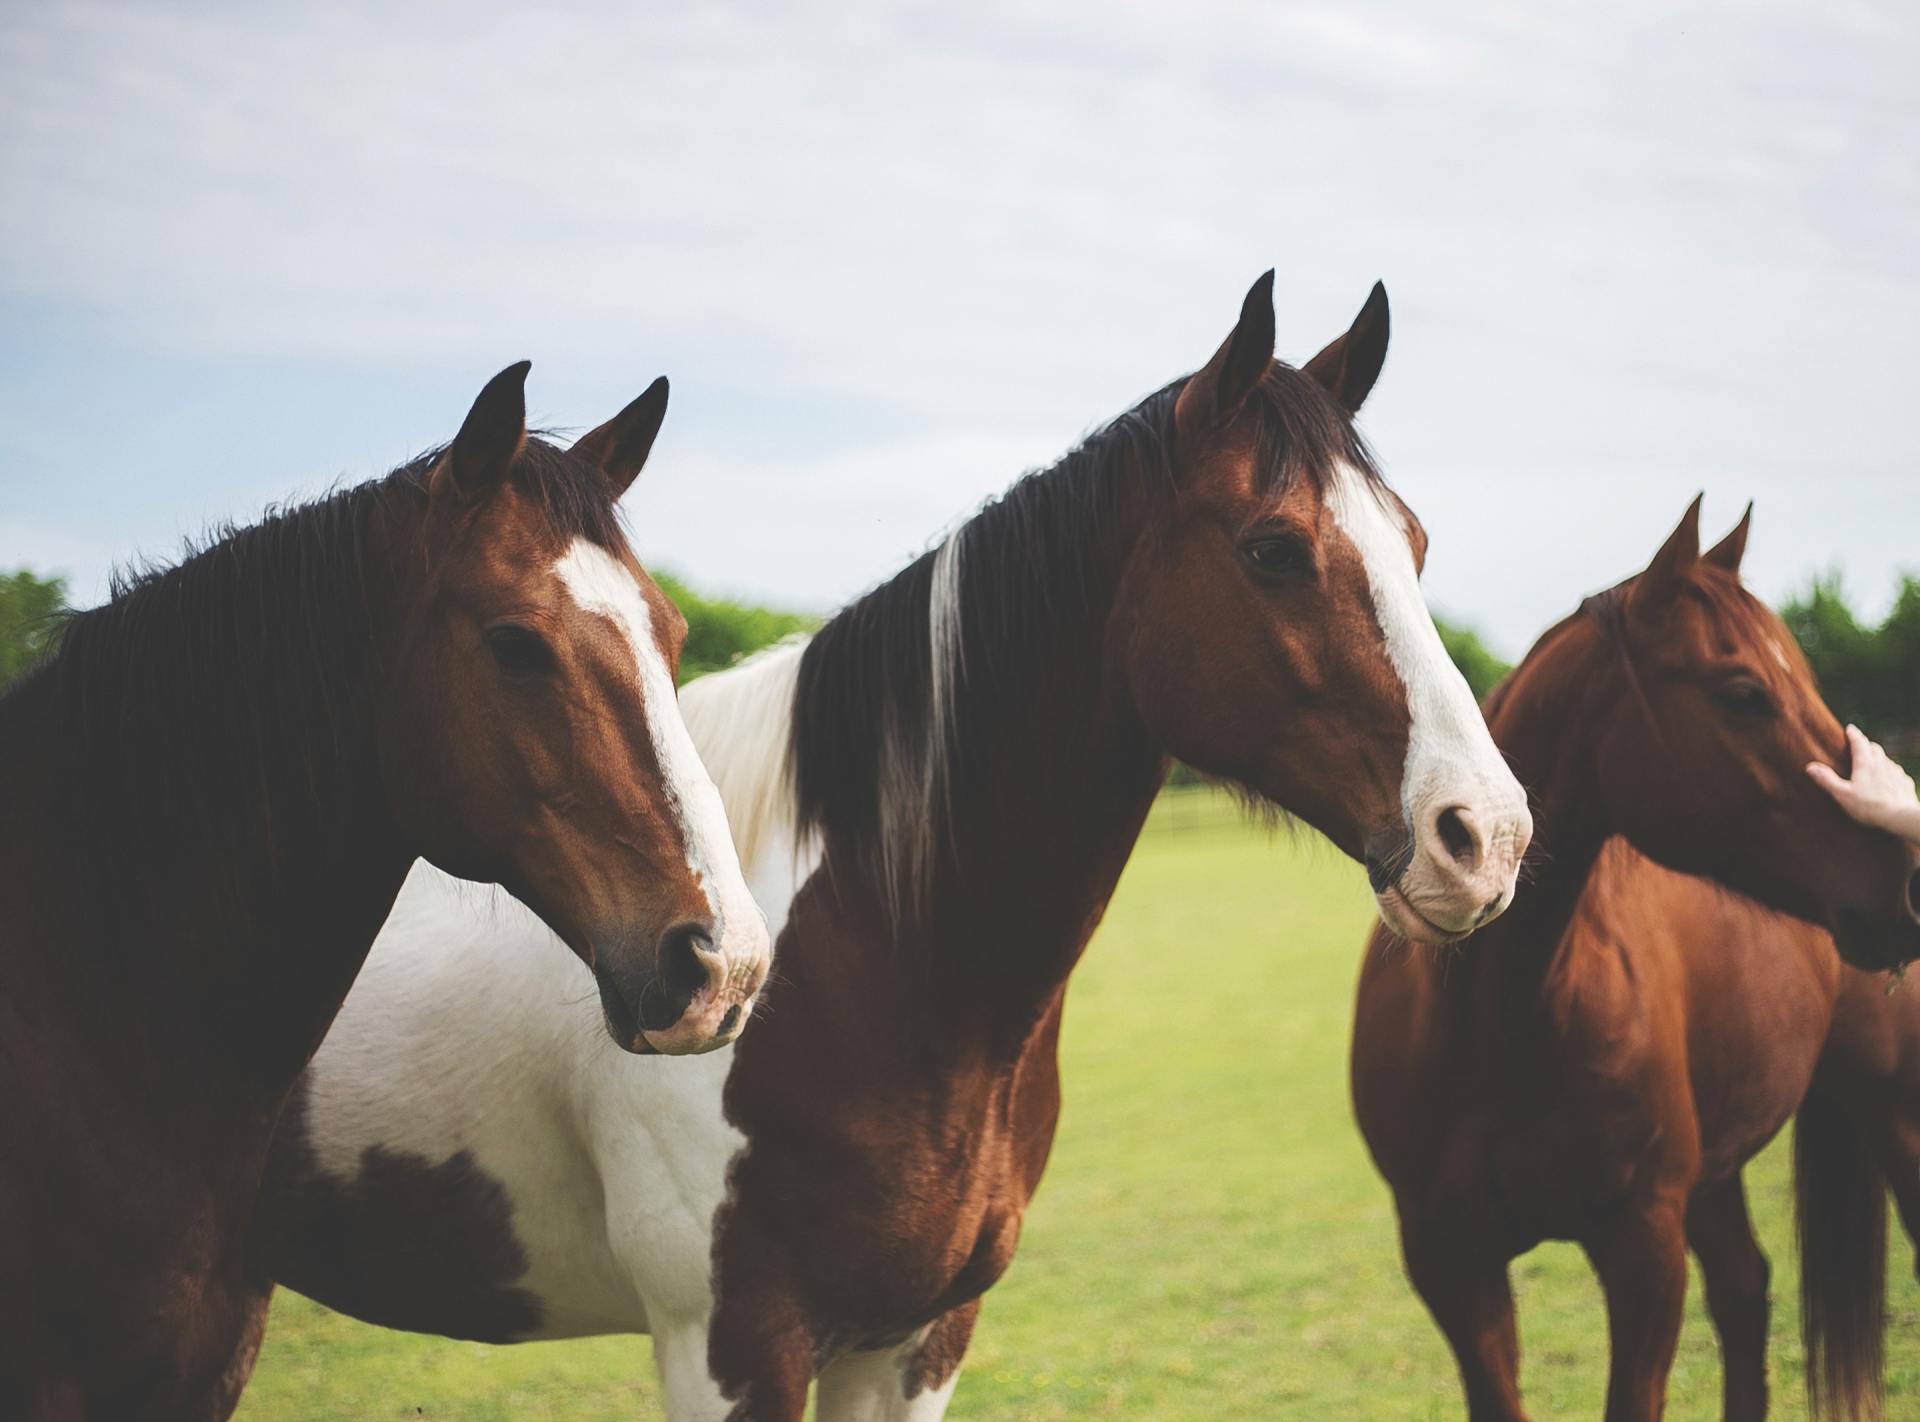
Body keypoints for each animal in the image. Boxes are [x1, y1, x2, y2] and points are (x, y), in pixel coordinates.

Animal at [244, 272, 1534, 1420]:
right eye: (1273, 548)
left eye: (1415, 541)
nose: (1486, 836)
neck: (866, 957)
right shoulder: (729, 1346)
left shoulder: (915, 1338)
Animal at [1350, 500, 1920, 1422]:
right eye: (1743, 693)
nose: (1904, 881)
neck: (1500, 1024)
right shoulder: (1451, 1264)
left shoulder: (1643, 1247)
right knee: (1745, 1290)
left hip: (1892, 1118)